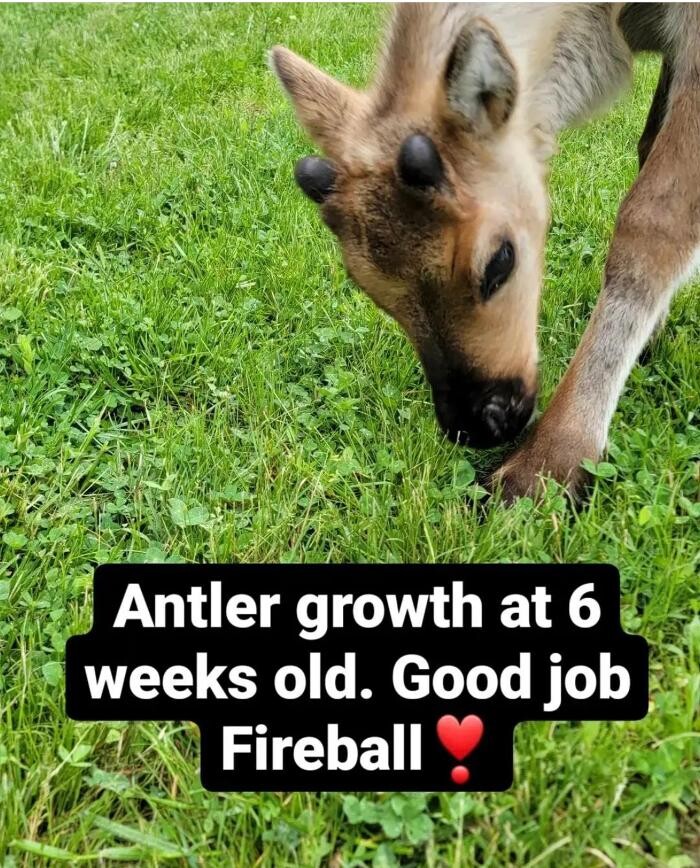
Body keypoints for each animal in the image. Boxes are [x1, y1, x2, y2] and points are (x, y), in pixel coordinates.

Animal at [271, 3, 699, 502]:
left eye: (500, 261)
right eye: (366, 286)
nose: (479, 425)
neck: (605, 21)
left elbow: (654, 217)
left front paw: (550, 459)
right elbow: (647, 148)